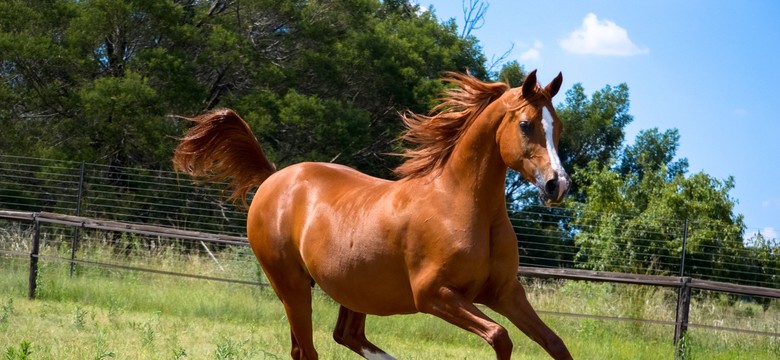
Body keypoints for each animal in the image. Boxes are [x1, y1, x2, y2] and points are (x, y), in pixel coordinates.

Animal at [172, 69, 572, 358]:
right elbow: (500, 336)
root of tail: (273, 177)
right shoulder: (433, 295)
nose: (558, 184)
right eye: (525, 124)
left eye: (557, 126)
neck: (460, 205)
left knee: (345, 336)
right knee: (308, 349)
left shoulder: (505, 292)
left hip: (353, 287)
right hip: (292, 285)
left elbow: (554, 343)